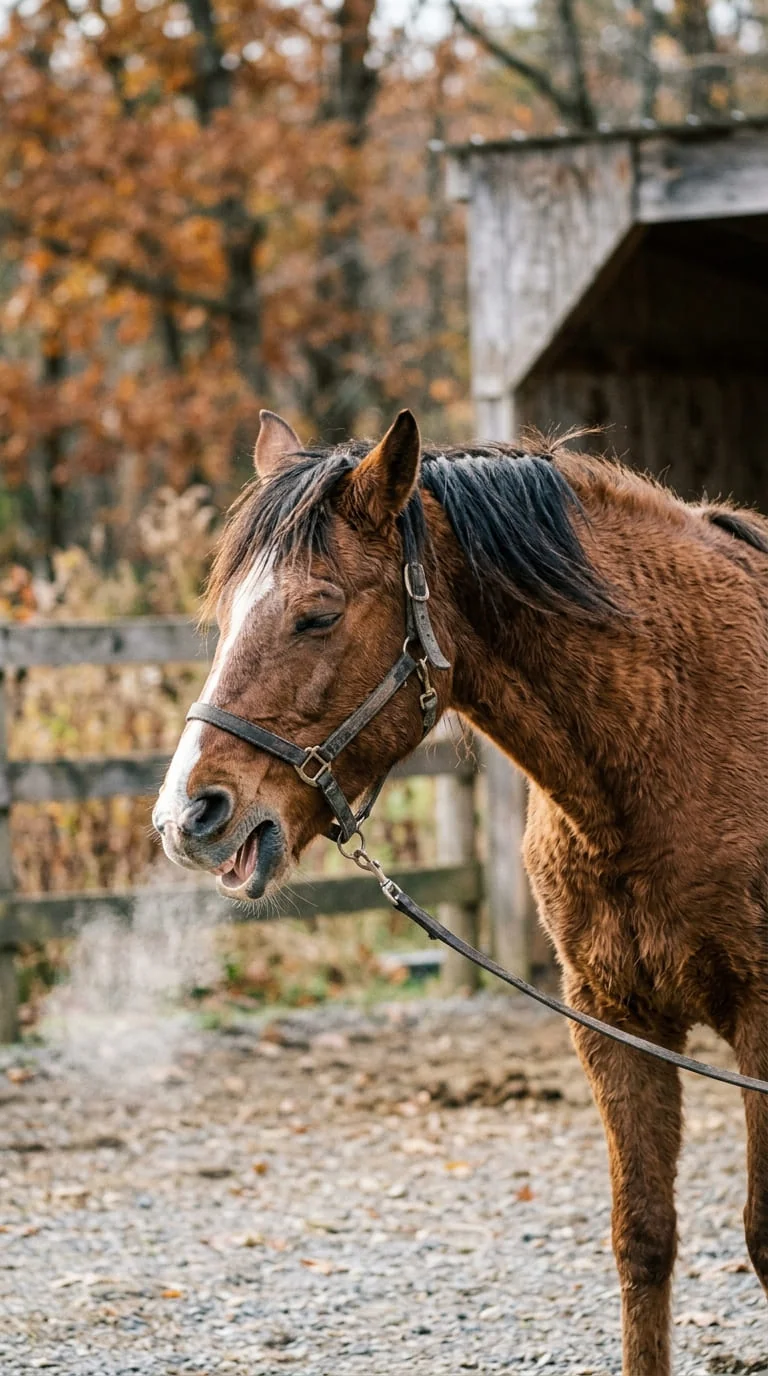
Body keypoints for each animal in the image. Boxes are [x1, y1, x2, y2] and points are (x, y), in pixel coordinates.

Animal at [153, 408, 768, 1375]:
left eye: (318, 613)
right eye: (224, 617)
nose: (188, 815)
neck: (685, 728)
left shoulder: (760, 1019)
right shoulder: (614, 1019)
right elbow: (644, 1241)